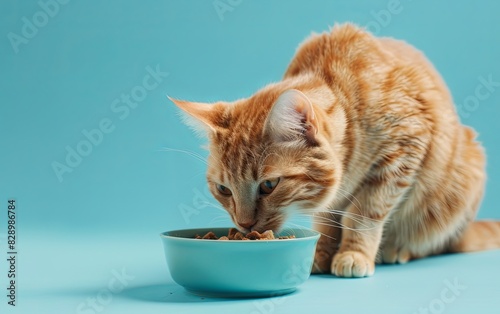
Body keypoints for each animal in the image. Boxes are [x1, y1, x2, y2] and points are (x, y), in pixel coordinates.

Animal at [170, 22, 498, 278]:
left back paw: (396, 248)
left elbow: (362, 215)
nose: (244, 224)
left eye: (269, 185)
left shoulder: (403, 151)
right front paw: (320, 254)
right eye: (223, 189)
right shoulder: (332, 197)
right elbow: (326, 220)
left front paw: (354, 253)